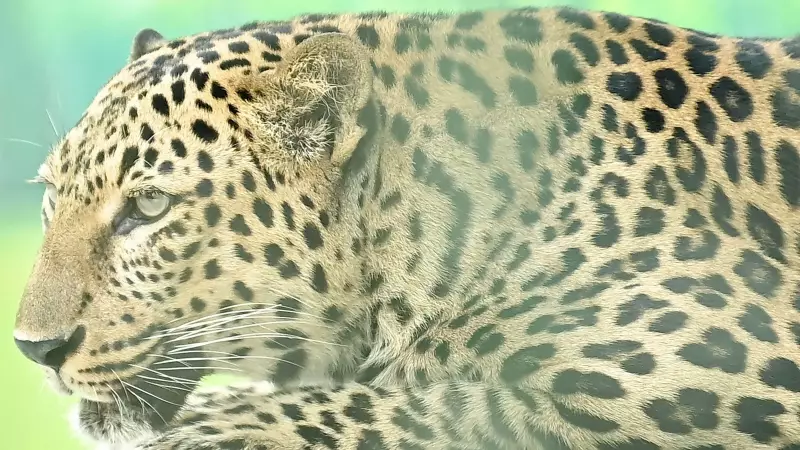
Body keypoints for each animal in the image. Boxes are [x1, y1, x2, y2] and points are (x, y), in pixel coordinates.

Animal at [12, 5, 800, 450]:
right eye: (52, 198)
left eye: (148, 209)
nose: (35, 350)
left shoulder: (733, 380)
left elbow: (455, 404)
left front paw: (223, 421)